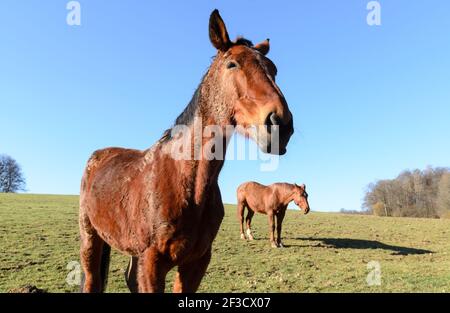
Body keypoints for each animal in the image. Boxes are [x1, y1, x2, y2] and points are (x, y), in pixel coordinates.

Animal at [78, 9, 294, 292]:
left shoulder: (196, 262)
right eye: (232, 64)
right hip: (90, 239)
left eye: (274, 69)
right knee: (92, 279)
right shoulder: (152, 264)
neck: (185, 179)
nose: (280, 123)